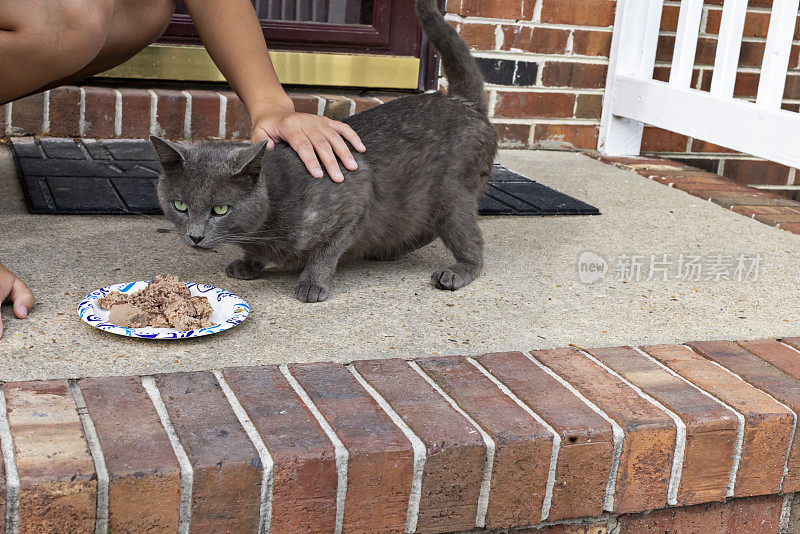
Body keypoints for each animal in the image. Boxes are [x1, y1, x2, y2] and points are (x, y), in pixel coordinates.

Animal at [152, 0, 494, 304]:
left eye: (220, 210)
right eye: (179, 206)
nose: (195, 236)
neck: (274, 204)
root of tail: (463, 102)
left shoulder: (353, 200)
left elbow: (326, 251)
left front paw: (311, 283)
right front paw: (249, 263)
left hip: (451, 193)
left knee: (470, 239)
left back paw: (456, 271)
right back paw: (389, 249)